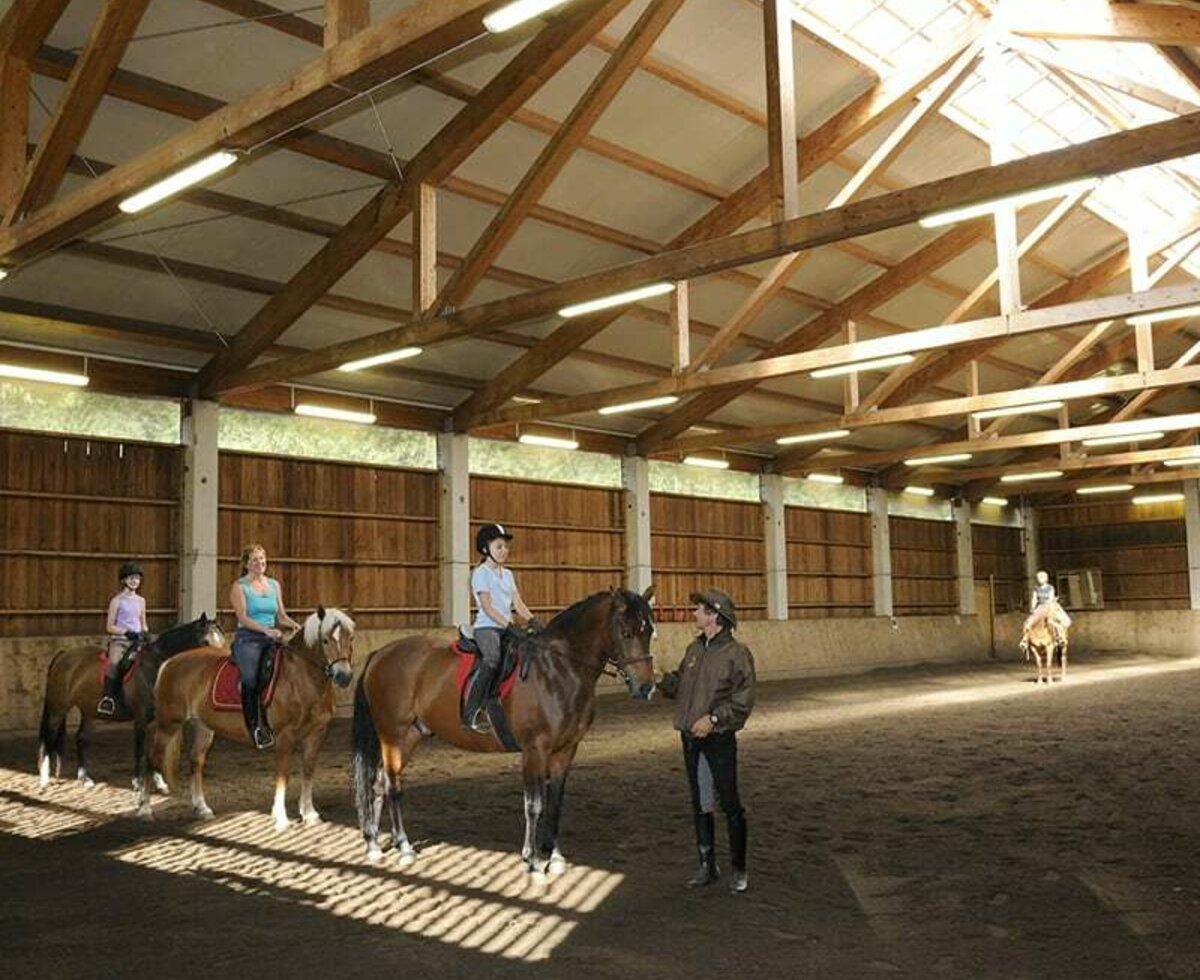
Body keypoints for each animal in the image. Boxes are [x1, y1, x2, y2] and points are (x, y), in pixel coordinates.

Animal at [34, 614, 225, 791]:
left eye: (222, 642)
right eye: (205, 642)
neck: (155, 666)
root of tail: (63, 655)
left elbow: (156, 750)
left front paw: (160, 782)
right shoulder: (140, 717)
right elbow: (139, 750)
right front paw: (138, 783)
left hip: (89, 710)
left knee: (81, 739)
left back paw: (84, 778)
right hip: (58, 708)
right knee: (48, 738)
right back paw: (44, 779)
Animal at [137, 606, 350, 830]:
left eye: (350, 638)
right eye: (325, 640)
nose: (344, 676)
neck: (300, 677)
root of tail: (170, 662)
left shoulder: (317, 733)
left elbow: (308, 770)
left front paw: (309, 814)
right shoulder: (285, 736)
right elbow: (283, 774)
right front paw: (280, 818)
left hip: (203, 727)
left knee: (196, 761)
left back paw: (202, 808)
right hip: (167, 725)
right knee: (151, 758)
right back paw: (145, 809)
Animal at [350, 585, 662, 873]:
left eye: (649, 632)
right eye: (626, 633)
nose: (646, 687)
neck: (558, 670)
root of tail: (381, 653)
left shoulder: (565, 750)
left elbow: (555, 804)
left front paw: (556, 857)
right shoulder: (534, 750)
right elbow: (534, 805)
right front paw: (532, 860)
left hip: (411, 735)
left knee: (379, 783)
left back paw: (375, 844)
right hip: (392, 733)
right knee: (392, 786)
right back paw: (403, 847)